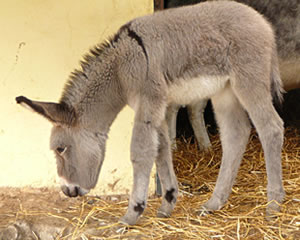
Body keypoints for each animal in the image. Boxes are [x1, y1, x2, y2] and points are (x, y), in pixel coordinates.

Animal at [17, 1, 284, 225]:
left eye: (60, 149)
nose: (67, 191)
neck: (121, 68)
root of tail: (263, 22)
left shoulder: (148, 101)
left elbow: (141, 152)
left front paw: (132, 213)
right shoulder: (158, 107)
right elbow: (161, 148)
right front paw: (168, 203)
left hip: (248, 82)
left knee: (270, 128)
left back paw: (273, 205)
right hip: (224, 92)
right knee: (235, 135)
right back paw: (214, 203)